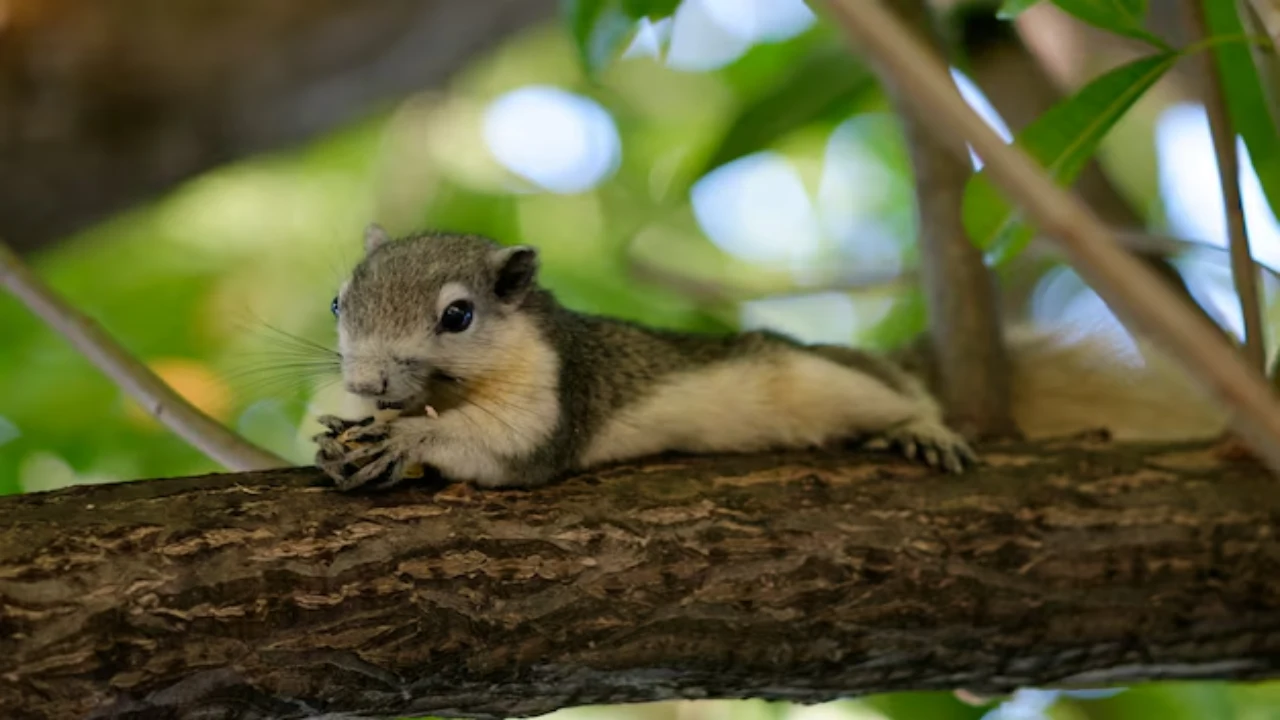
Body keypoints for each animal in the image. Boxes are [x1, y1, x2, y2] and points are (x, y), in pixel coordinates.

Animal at [312, 225, 1228, 491]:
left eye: (458, 315)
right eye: (336, 303)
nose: (365, 379)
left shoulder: (557, 392)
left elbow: (510, 452)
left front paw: (408, 439)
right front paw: (345, 433)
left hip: (827, 378)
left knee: (896, 392)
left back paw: (920, 426)